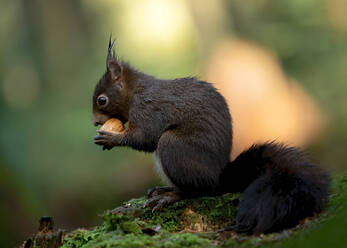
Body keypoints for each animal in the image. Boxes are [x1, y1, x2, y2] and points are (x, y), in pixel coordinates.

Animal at [92, 38, 332, 234]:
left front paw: (111, 139)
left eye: (102, 100)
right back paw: (165, 189)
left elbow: (145, 138)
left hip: (174, 147)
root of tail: (220, 177)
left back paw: (171, 196)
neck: (135, 92)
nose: (95, 122)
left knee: (200, 190)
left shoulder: (149, 109)